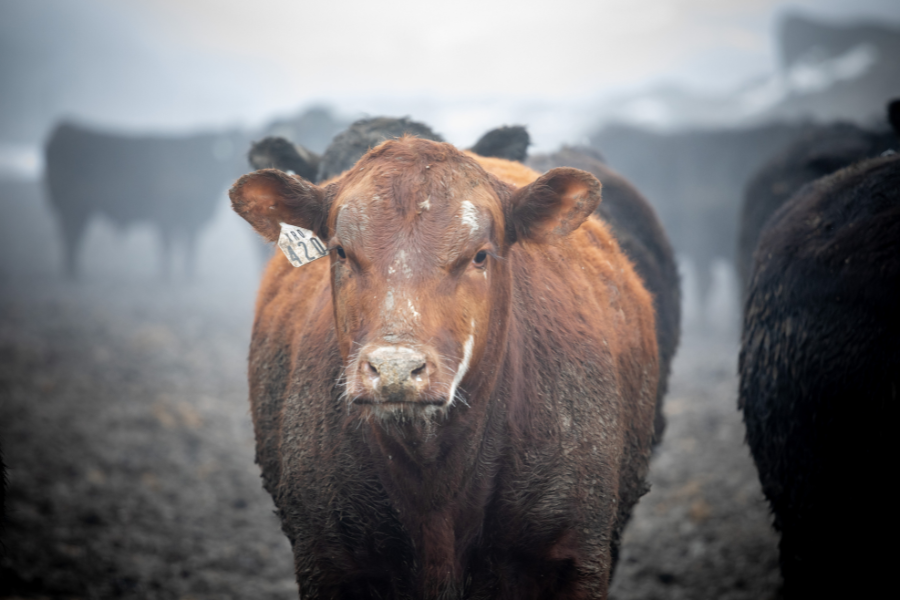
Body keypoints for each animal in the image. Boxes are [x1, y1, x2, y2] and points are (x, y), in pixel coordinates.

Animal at [42, 123, 246, 282]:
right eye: (230, 147)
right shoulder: (167, 216)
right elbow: (168, 245)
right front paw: (166, 277)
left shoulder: (191, 220)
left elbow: (190, 247)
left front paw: (189, 277)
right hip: (71, 208)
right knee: (71, 236)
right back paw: (73, 274)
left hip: (78, 210)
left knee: (73, 237)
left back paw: (74, 272)